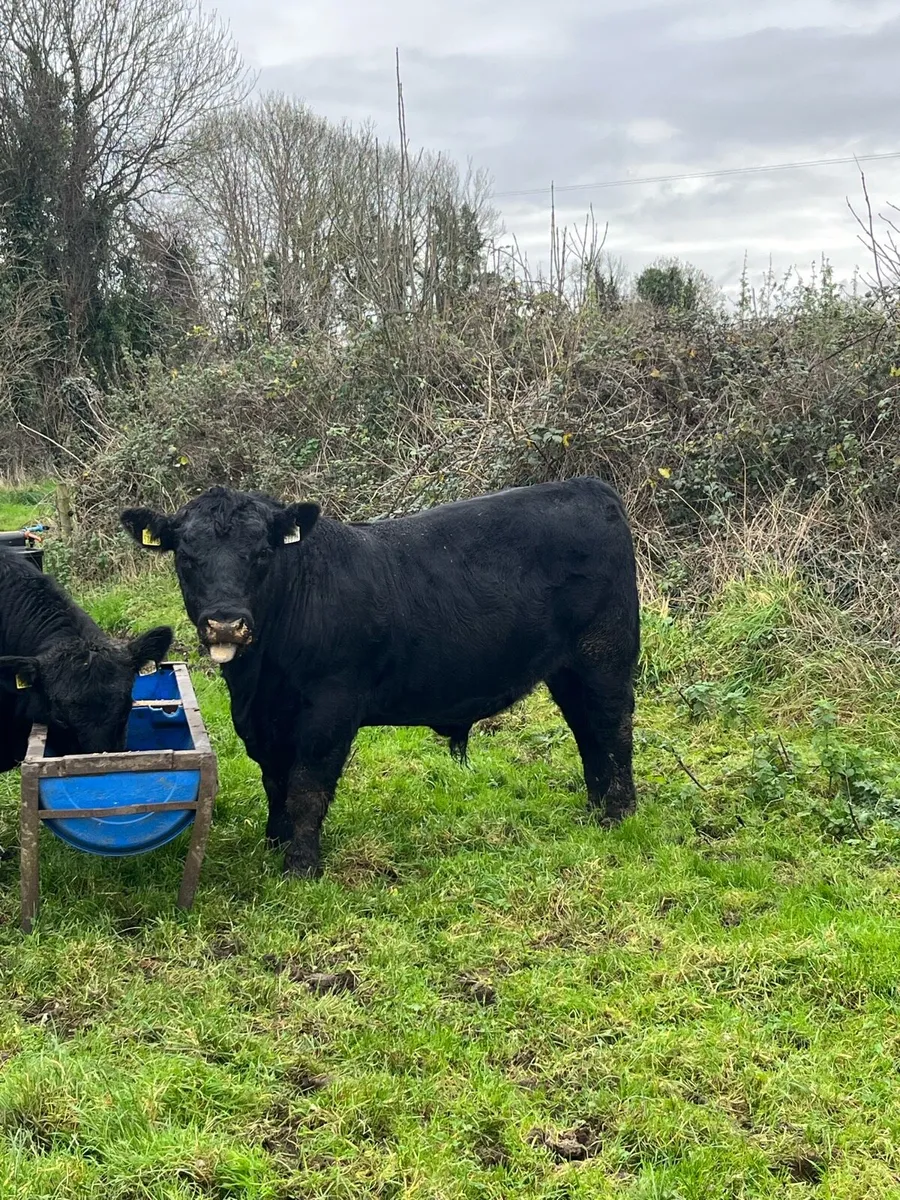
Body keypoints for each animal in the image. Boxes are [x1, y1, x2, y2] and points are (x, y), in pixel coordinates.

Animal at [121, 477, 639, 877]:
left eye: (263, 552)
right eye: (186, 556)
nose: (226, 623)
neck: (260, 678)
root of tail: (590, 487)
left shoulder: (330, 707)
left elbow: (306, 786)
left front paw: (300, 865)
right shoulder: (262, 721)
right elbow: (274, 780)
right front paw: (274, 842)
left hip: (604, 655)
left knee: (611, 728)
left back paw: (618, 814)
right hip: (568, 669)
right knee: (588, 732)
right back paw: (596, 810)